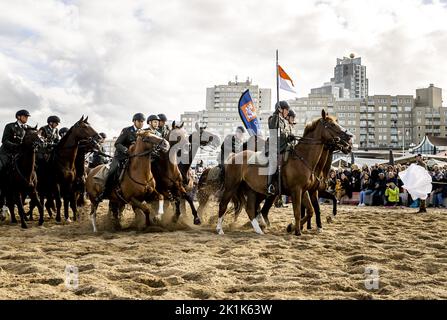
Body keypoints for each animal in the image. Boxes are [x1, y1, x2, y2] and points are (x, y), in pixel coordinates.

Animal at [217, 109, 354, 236]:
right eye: (331, 125)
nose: (349, 140)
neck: (304, 158)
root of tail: (233, 157)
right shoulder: (297, 190)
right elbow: (298, 212)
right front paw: (297, 231)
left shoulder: (305, 191)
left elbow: (311, 210)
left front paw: (293, 227)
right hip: (231, 186)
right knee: (224, 205)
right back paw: (220, 229)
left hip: (251, 190)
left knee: (251, 208)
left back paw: (258, 229)